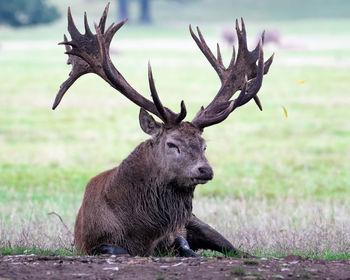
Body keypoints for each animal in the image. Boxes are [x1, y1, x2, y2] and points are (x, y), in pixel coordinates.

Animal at [52, 3, 274, 258]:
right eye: (172, 144)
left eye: (204, 145)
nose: (205, 170)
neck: (141, 232)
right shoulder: (90, 243)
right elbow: (118, 250)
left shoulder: (176, 233)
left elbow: (185, 247)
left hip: (198, 221)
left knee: (236, 250)